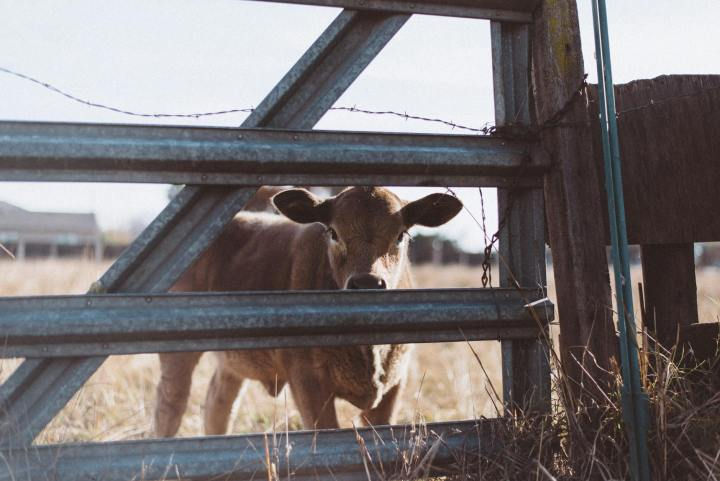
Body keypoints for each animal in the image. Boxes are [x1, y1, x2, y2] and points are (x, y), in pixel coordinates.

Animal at [154, 186, 462, 436]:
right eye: (334, 232)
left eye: (400, 235)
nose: (367, 283)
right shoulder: (307, 381)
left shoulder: (394, 383)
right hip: (177, 356)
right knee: (170, 407)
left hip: (232, 363)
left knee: (218, 406)